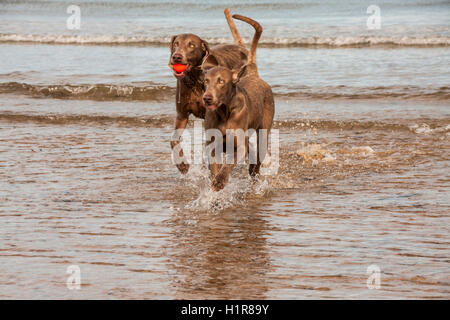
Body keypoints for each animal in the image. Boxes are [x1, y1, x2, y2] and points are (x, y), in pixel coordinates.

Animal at [170, 8, 248, 174]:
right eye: (175, 44)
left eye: (191, 45)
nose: (176, 57)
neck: (195, 79)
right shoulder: (182, 114)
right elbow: (173, 140)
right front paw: (182, 164)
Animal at [203, 14, 274, 190]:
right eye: (206, 81)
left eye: (221, 81)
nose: (207, 98)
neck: (225, 111)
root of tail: (253, 75)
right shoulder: (212, 145)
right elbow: (214, 165)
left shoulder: (240, 145)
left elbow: (229, 163)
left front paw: (220, 181)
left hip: (264, 129)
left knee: (258, 155)